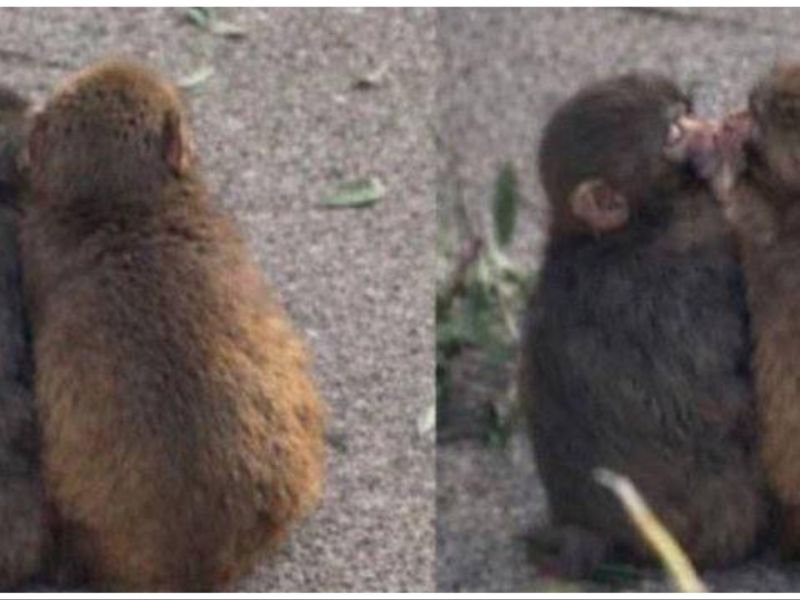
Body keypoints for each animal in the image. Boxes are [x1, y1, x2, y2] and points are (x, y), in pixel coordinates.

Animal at [519, 73, 768, 579]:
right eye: (674, 132)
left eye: (688, 113)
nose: (716, 129)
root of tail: (588, 529)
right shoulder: (690, 261)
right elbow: (729, 390)